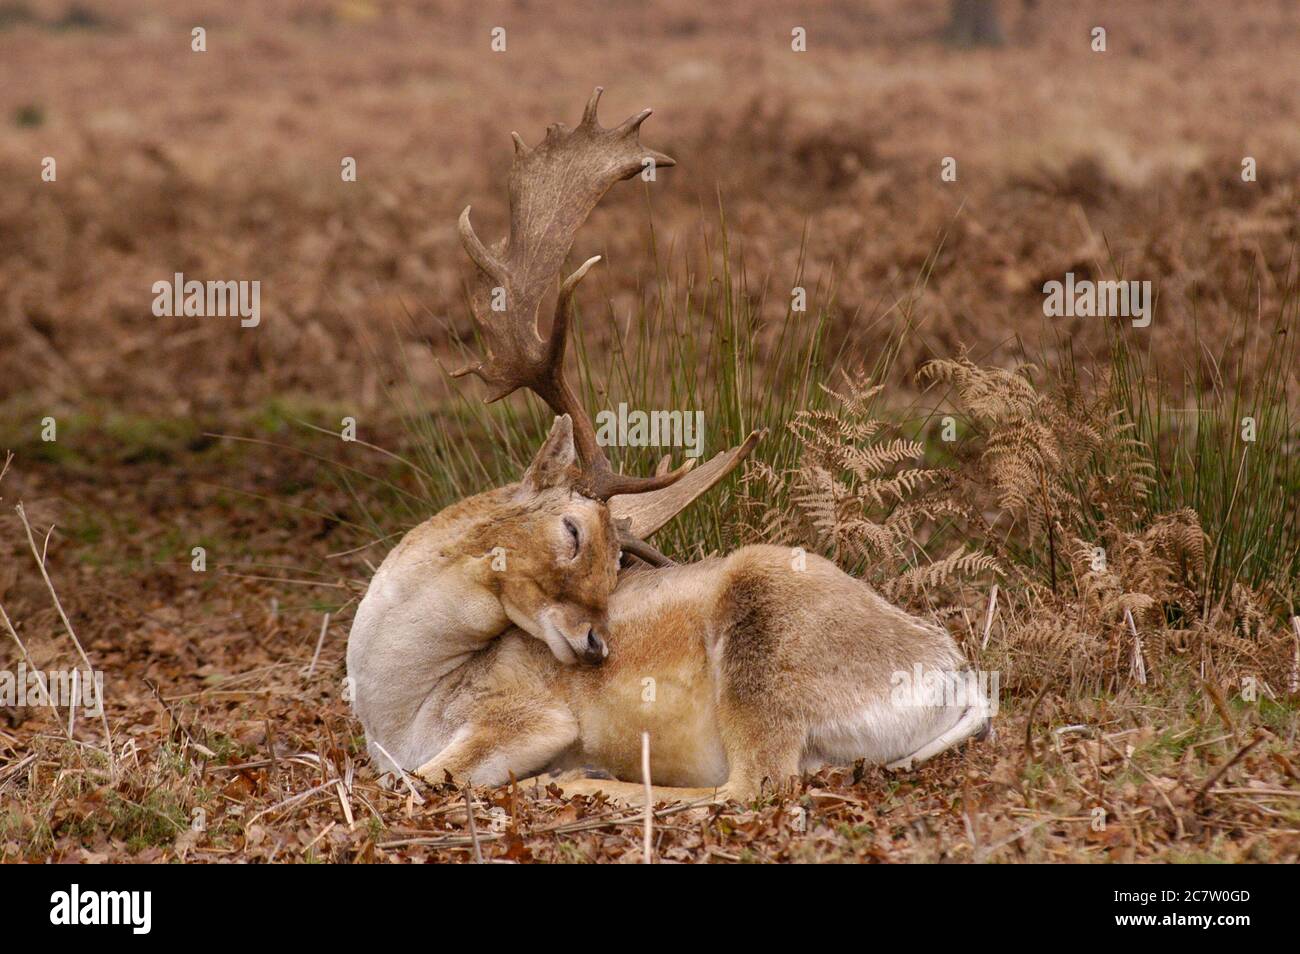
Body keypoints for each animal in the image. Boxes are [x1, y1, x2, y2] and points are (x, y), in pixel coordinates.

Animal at [340, 91, 987, 805]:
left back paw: (580, 779)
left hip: (763, 640)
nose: (597, 647)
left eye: (614, 558)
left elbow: (424, 779)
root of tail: (960, 680)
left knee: (754, 784)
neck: (399, 707)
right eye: (573, 531)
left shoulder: (525, 715)